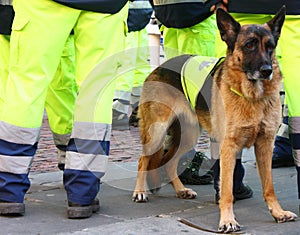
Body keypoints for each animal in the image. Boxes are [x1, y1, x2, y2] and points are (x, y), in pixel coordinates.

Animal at [132, 6, 296, 232]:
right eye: (249, 45)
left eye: (270, 46)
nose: (267, 71)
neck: (252, 96)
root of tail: (158, 67)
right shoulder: (228, 148)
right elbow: (226, 189)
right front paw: (227, 220)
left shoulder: (265, 145)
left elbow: (269, 187)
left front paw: (278, 213)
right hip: (157, 132)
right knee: (143, 160)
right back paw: (140, 192)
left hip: (188, 137)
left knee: (169, 163)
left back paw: (181, 190)